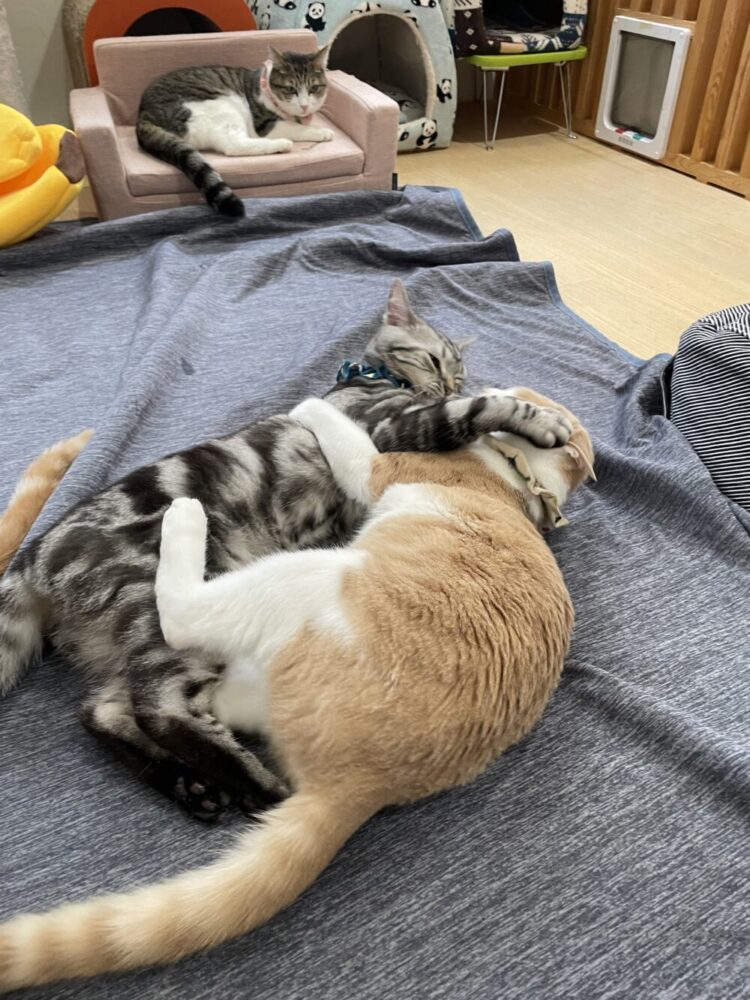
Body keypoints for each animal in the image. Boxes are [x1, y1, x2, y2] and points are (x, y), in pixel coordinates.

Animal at [136, 46, 333, 217]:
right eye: (290, 89)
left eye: (314, 88)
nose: (304, 106)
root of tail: (144, 114)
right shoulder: (265, 125)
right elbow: (298, 128)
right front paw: (322, 132)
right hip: (222, 105)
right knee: (234, 146)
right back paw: (281, 145)